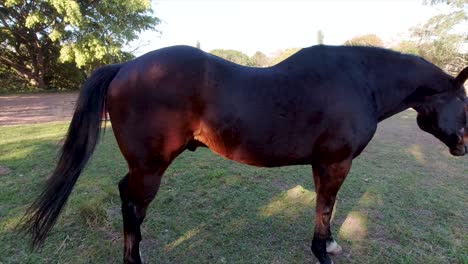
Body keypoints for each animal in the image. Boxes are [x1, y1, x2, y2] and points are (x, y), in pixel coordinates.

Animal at [22, 45, 468, 264]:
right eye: (464, 103)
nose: (463, 146)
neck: (359, 81)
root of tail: (127, 66)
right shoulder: (336, 163)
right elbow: (326, 206)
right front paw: (322, 252)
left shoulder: (323, 164)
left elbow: (325, 205)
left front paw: (327, 245)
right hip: (150, 168)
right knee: (133, 205)